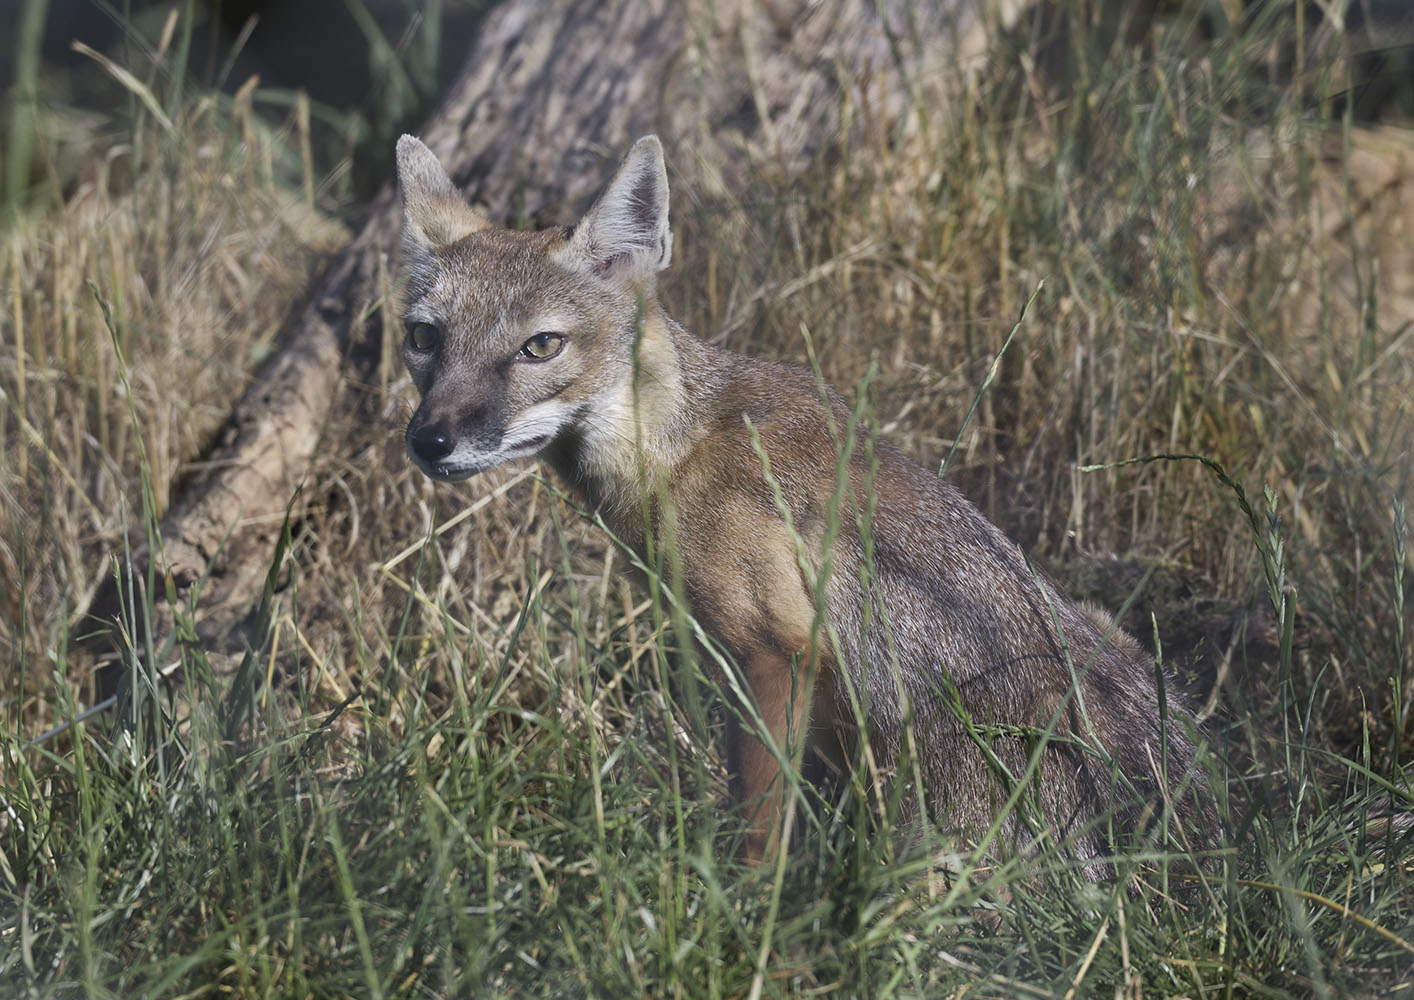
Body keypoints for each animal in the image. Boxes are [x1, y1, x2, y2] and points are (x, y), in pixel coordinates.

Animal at [393, 132, 1209, 875]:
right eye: (425, 339)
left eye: (540, 347)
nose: (429, 442)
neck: (677, 451)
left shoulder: (776, 653)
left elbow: (759, 828)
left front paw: (745, 909)